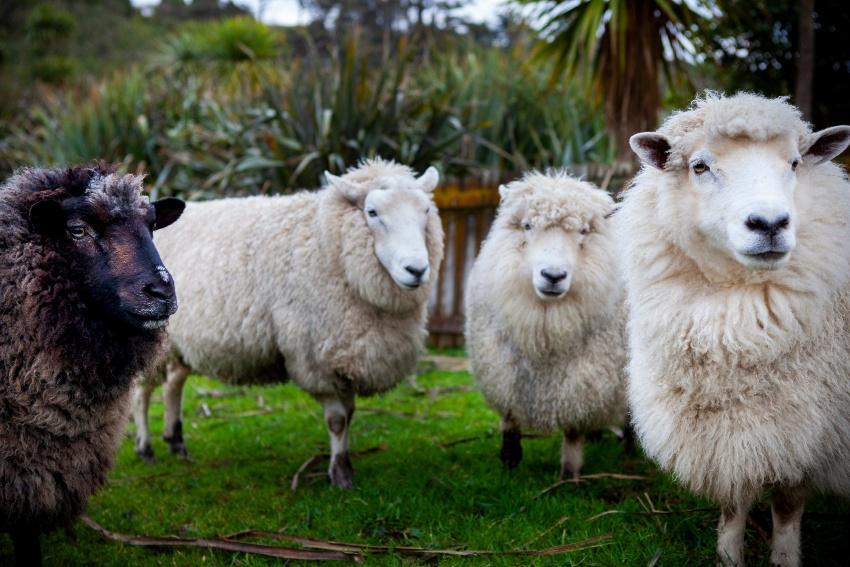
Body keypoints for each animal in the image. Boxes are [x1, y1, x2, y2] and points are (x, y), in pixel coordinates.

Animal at [132, 159, 444, 488]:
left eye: (426, 210)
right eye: (372, 212)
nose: (416, 269)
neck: (327, 245)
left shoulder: (343, 353)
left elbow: (350, 414)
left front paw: (344, 463)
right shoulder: (316, 356)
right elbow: (337, 420)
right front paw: (339, 473)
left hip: (179, 344)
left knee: (173, 383)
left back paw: (176, 441)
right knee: (142, 392)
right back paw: (145, 447)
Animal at [460, 172, 628, 480]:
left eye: (583, 231)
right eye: (527, 225)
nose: (553, 275)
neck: (545, 329)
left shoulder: (581, 380)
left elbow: (573, 431)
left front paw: (568, 476)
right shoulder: (503, 370)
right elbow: (509, 417)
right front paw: (509, 462)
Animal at [620, 91, 848, 564]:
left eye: (795, 163)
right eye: (699, 166)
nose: (770, 224)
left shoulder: (806, 431)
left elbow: (786, 508)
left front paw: (784, 559)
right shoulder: (729, 435)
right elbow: (732, 503)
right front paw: (728, 556)